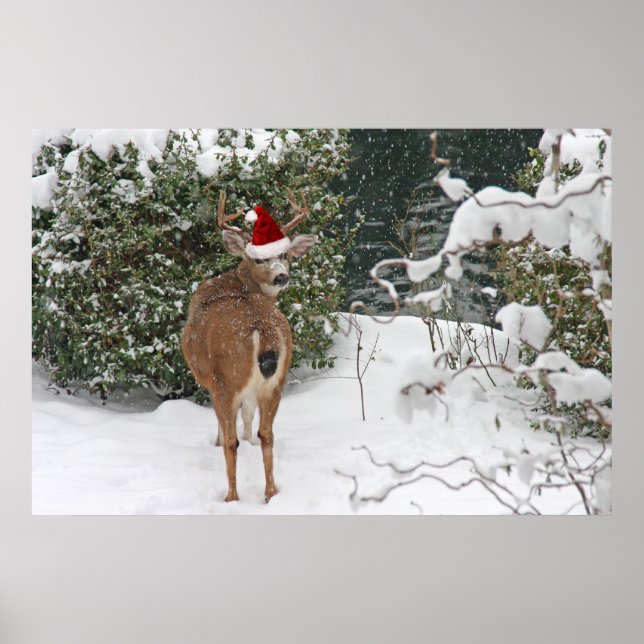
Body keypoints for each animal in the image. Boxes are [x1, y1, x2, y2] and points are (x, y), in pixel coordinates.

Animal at [181, 190, 318, 503]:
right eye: (259, 260)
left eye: (283, 254)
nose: (282, 276)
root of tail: (263, 331)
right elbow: (248, 416)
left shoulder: (213, 382)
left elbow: (226, 427)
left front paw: (218, 441)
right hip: (276, 382)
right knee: (267, 434)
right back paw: (271, 493)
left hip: (227, 378)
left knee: (231, 442)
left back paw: (231, 497)